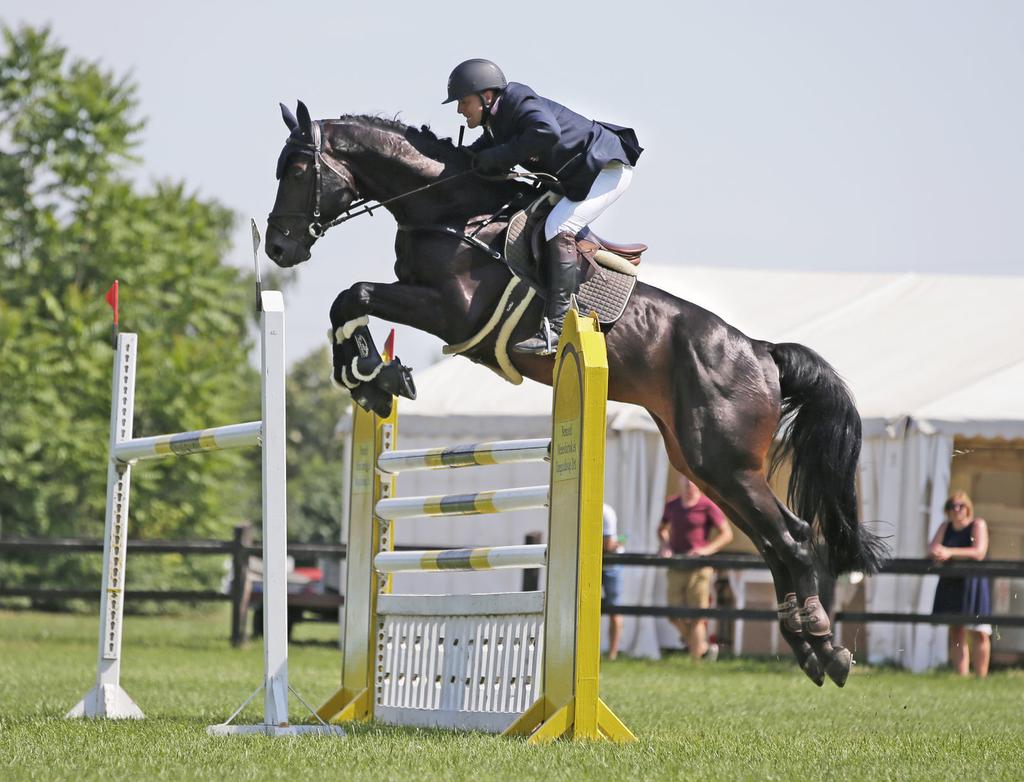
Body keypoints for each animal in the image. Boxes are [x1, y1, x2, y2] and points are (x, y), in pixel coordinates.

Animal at [266, 100, 888, 687]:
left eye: (296, 169)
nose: (277, 248)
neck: (453, 212)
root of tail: (760, 351)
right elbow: (349, 302)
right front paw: (369, 377)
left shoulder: (452, 310)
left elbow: (354, 294)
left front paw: (374, 373)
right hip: (703, 466)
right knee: (774, 539)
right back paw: (812, 648)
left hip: (727, 463)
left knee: (793, 537)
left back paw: (823, 645)